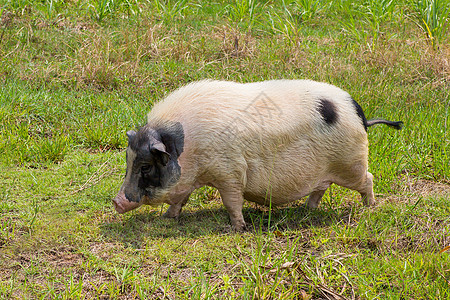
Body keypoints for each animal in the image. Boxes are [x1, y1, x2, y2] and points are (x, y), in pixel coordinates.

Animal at [111, 79, 400, 230]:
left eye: (146, 166)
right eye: (128, 160)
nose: (116, 201)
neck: (187, 148)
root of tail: (359, 114)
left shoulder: (230, 172)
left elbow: (232, 202)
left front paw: (238, 228)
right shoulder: (191, 178)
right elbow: (179, 200)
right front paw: (167, 218)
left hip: (351, 163)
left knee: (368, 179)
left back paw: (370, 207)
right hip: (328, 170)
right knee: (321, 188)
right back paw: (307, 209)